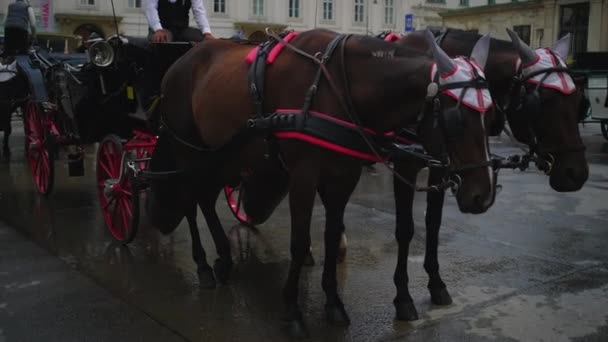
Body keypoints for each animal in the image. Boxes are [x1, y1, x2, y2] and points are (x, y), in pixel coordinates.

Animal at [147, 28, 498, 336]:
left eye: (490, 113)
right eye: (456, 118)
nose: (482, 196)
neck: (337, 87)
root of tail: (181, 61)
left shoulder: (344, 175)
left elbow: (331, 235)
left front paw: (333, 303)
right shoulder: (305, 174)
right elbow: (300, 240)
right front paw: (292, 310)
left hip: (224, 154)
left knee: (206, 197)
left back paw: (223, 257)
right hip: (189, 150)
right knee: (192, 200)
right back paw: (203, 265)